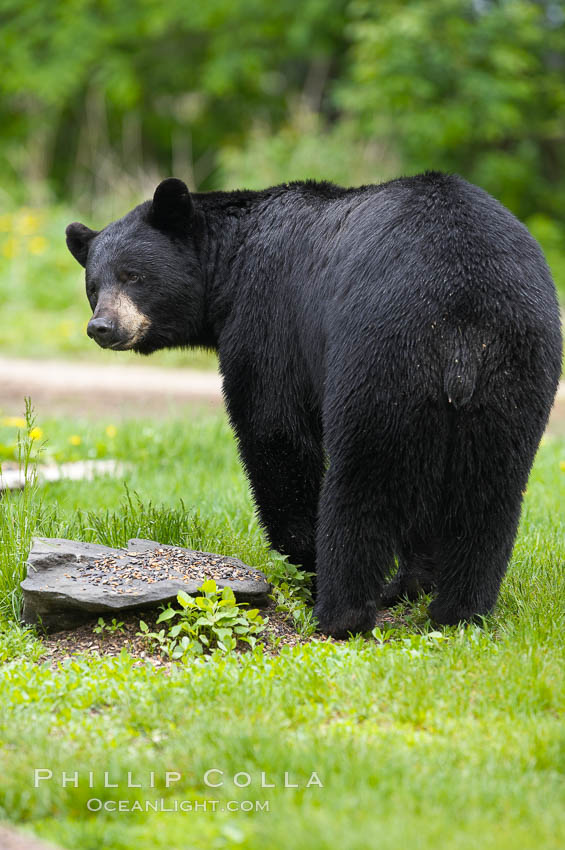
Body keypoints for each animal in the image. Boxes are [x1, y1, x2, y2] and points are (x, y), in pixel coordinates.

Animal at [65, 174, 560, 636]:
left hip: (380, 353)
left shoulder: (268, 320)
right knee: (490, 489)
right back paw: (459, 611)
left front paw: (307, 563)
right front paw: (414, 581)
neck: (231, 264)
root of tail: (460, 324)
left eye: (133, 275)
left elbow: (274, 432)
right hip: (516, 367)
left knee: (361, 482)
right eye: (93, 285)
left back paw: (340, 613)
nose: (102, 327)